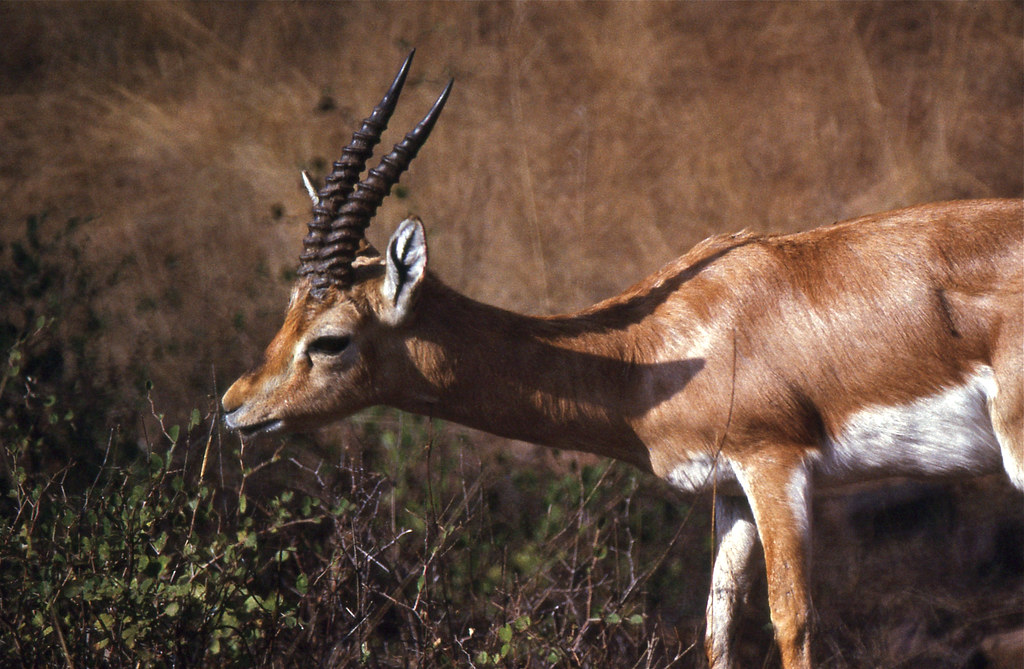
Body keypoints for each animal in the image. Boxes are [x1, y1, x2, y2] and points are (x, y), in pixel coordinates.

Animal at [221, 52, 1024, 669]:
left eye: (330, 339)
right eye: (287, 311)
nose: (233, 405)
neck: (665, 347)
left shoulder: (777, 465)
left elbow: (792, 620)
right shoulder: (731, 490)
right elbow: (717, 626)